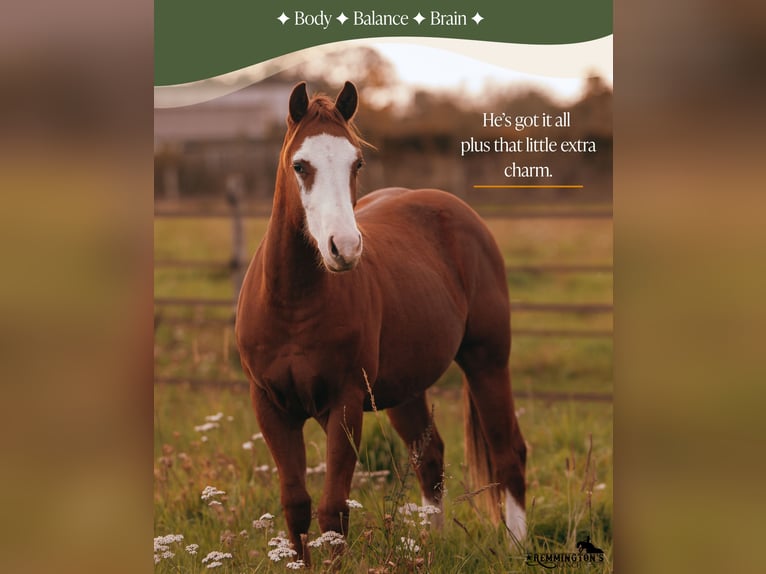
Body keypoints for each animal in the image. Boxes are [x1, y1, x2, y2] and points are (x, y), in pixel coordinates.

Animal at [235, 81, 526, 562]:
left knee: (509, 454)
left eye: (356, 162)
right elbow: (296, 506)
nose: (345, 247)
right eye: (300, 165)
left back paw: (517, 549)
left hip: (488, 362)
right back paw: (429, 548)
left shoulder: (345, 404)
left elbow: (333, 512)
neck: (293, 303)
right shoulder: (271, 407)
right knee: (430, 460)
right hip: (406, 389)